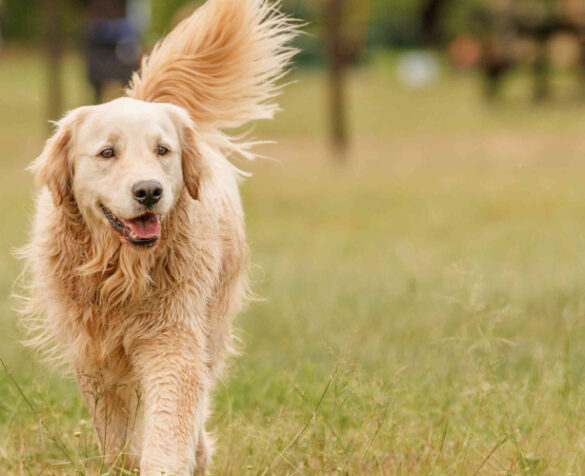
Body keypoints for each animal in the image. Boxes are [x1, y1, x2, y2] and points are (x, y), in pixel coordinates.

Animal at [18, 1, 296, 474]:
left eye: (162, 150)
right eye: (107, 152)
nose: (149, 191)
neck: (122, 272)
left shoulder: (173, 341)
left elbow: (170, 422)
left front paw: (171, 458)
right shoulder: (95, 355)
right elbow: (116, 435)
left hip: (212, 323)